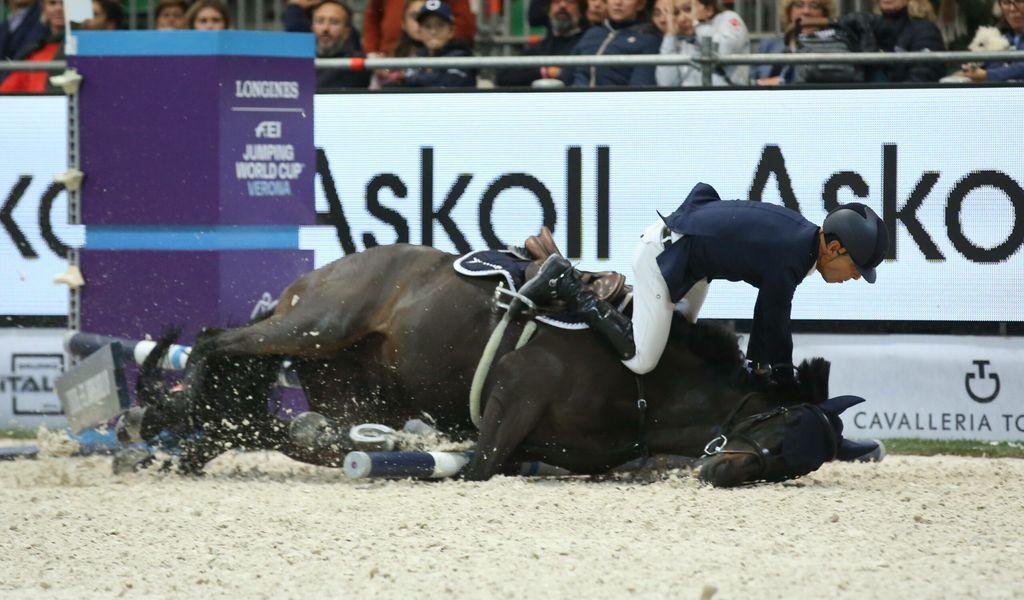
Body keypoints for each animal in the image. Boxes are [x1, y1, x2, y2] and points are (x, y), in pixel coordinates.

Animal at [134, 243, 876, 486]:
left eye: (800, 461)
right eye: (780, 436)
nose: (722, 475)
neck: (645, 388)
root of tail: (332, 265)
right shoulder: (515, 395)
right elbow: (479, 465)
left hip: (356, 387)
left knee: (285, 427)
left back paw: (200, 441)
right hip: (319, 325)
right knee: (215, 342)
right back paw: (163, 418)